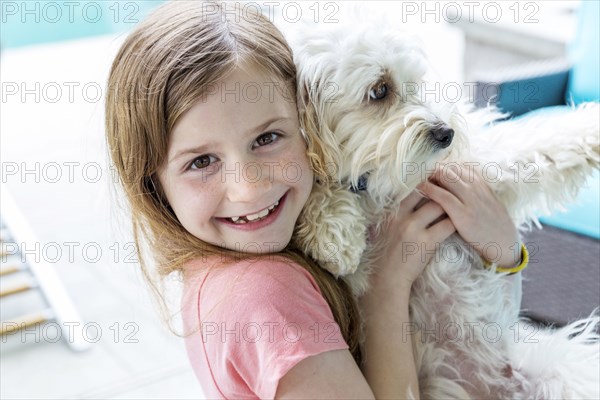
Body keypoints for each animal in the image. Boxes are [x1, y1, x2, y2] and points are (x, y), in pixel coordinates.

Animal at [280, 6, 600, 400]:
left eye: (415, 83)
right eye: (380, 89)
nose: (446, 133)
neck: (379, 180)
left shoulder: (474, 168)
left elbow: (535, 144)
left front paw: (591, 125)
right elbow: (319, 190)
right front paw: (330, 231)